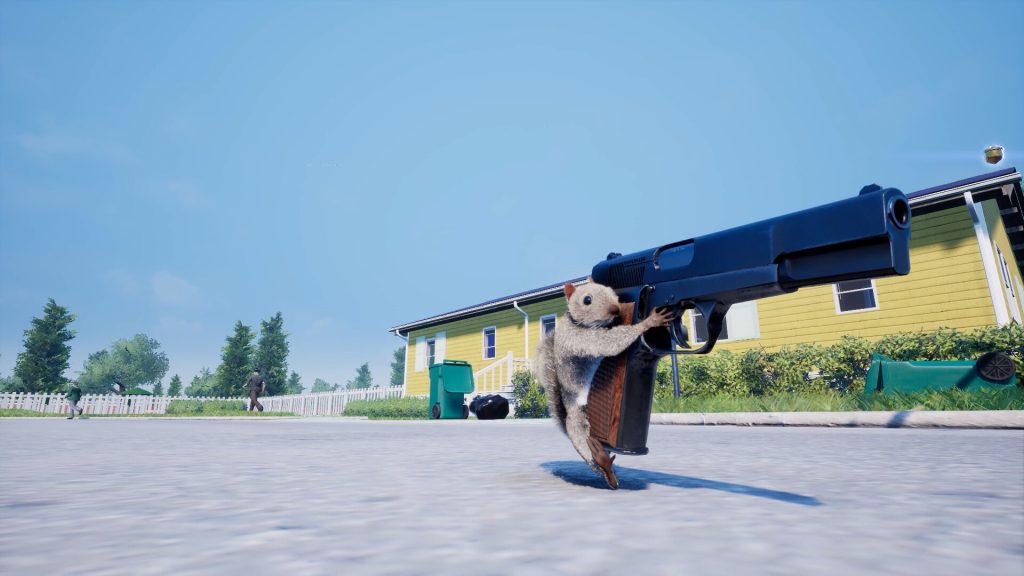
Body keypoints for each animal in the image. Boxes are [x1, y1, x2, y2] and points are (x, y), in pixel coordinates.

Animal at [534, 280, 673, 489]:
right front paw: (649, 321)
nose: (615, 309)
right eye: (587, 300)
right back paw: (602, 461)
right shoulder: (582, 339)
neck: (575, 321)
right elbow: (609, 343)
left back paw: (610, 474)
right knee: (583, 444)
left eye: (611, 291)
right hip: (579, 422)